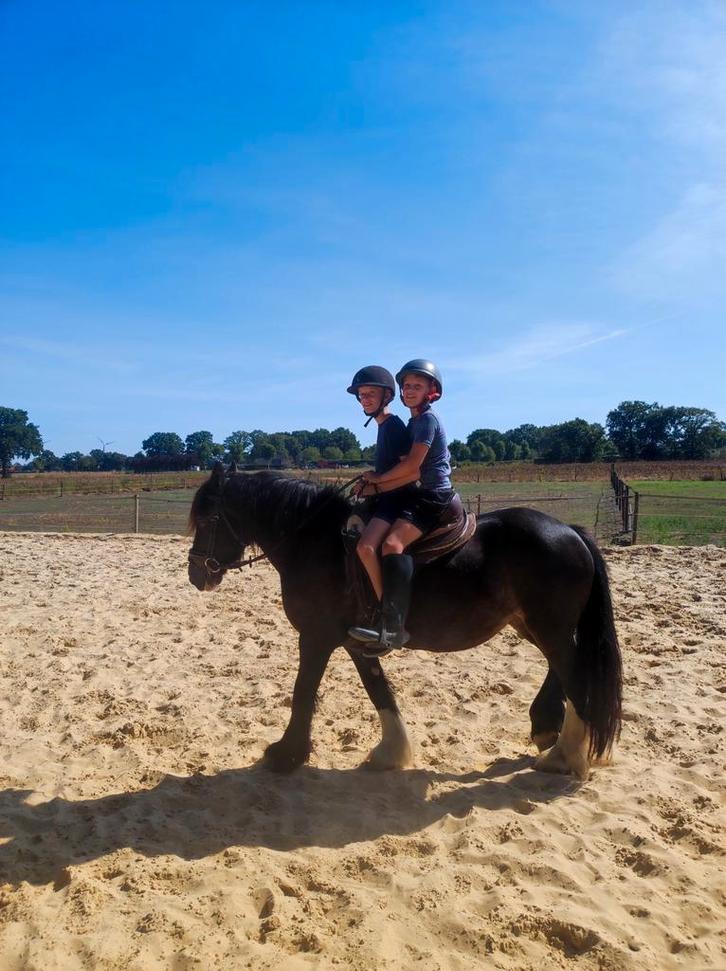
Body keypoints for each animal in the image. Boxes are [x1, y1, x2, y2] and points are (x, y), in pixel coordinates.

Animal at [187, 465, 622, 780]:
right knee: (561, 669)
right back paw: (546, 729)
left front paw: (285, 755)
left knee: (575, 676)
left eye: (208, 520)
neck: (315, 541)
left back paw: (566, 756)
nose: (196, 575)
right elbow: (378, 690)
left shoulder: (315, 637)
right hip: (534, 626)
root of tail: (571, 532)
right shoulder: (356, 640)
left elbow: (302, 692)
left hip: (550, 628)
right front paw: (391, 752)